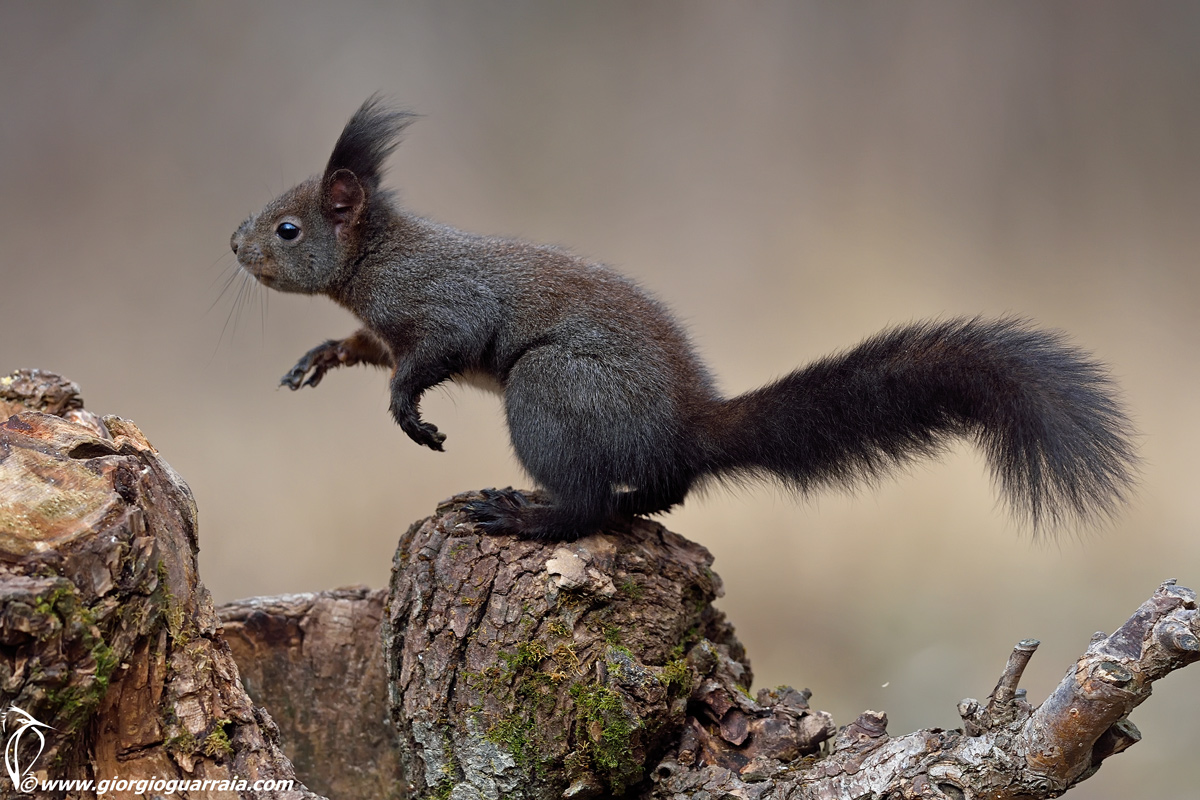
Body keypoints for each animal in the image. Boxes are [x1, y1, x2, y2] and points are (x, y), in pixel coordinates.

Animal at [229, 95, 1137, 544]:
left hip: (551, 390)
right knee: (666, 490)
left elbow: (430, 357)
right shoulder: (386, 326)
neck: (376, 261)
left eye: (289, 228)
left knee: (589, 503)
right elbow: (367, 347)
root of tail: (686, 426)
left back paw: (528, 516)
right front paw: (320, 357)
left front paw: (407, 414)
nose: (234, 243)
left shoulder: (441, 304)